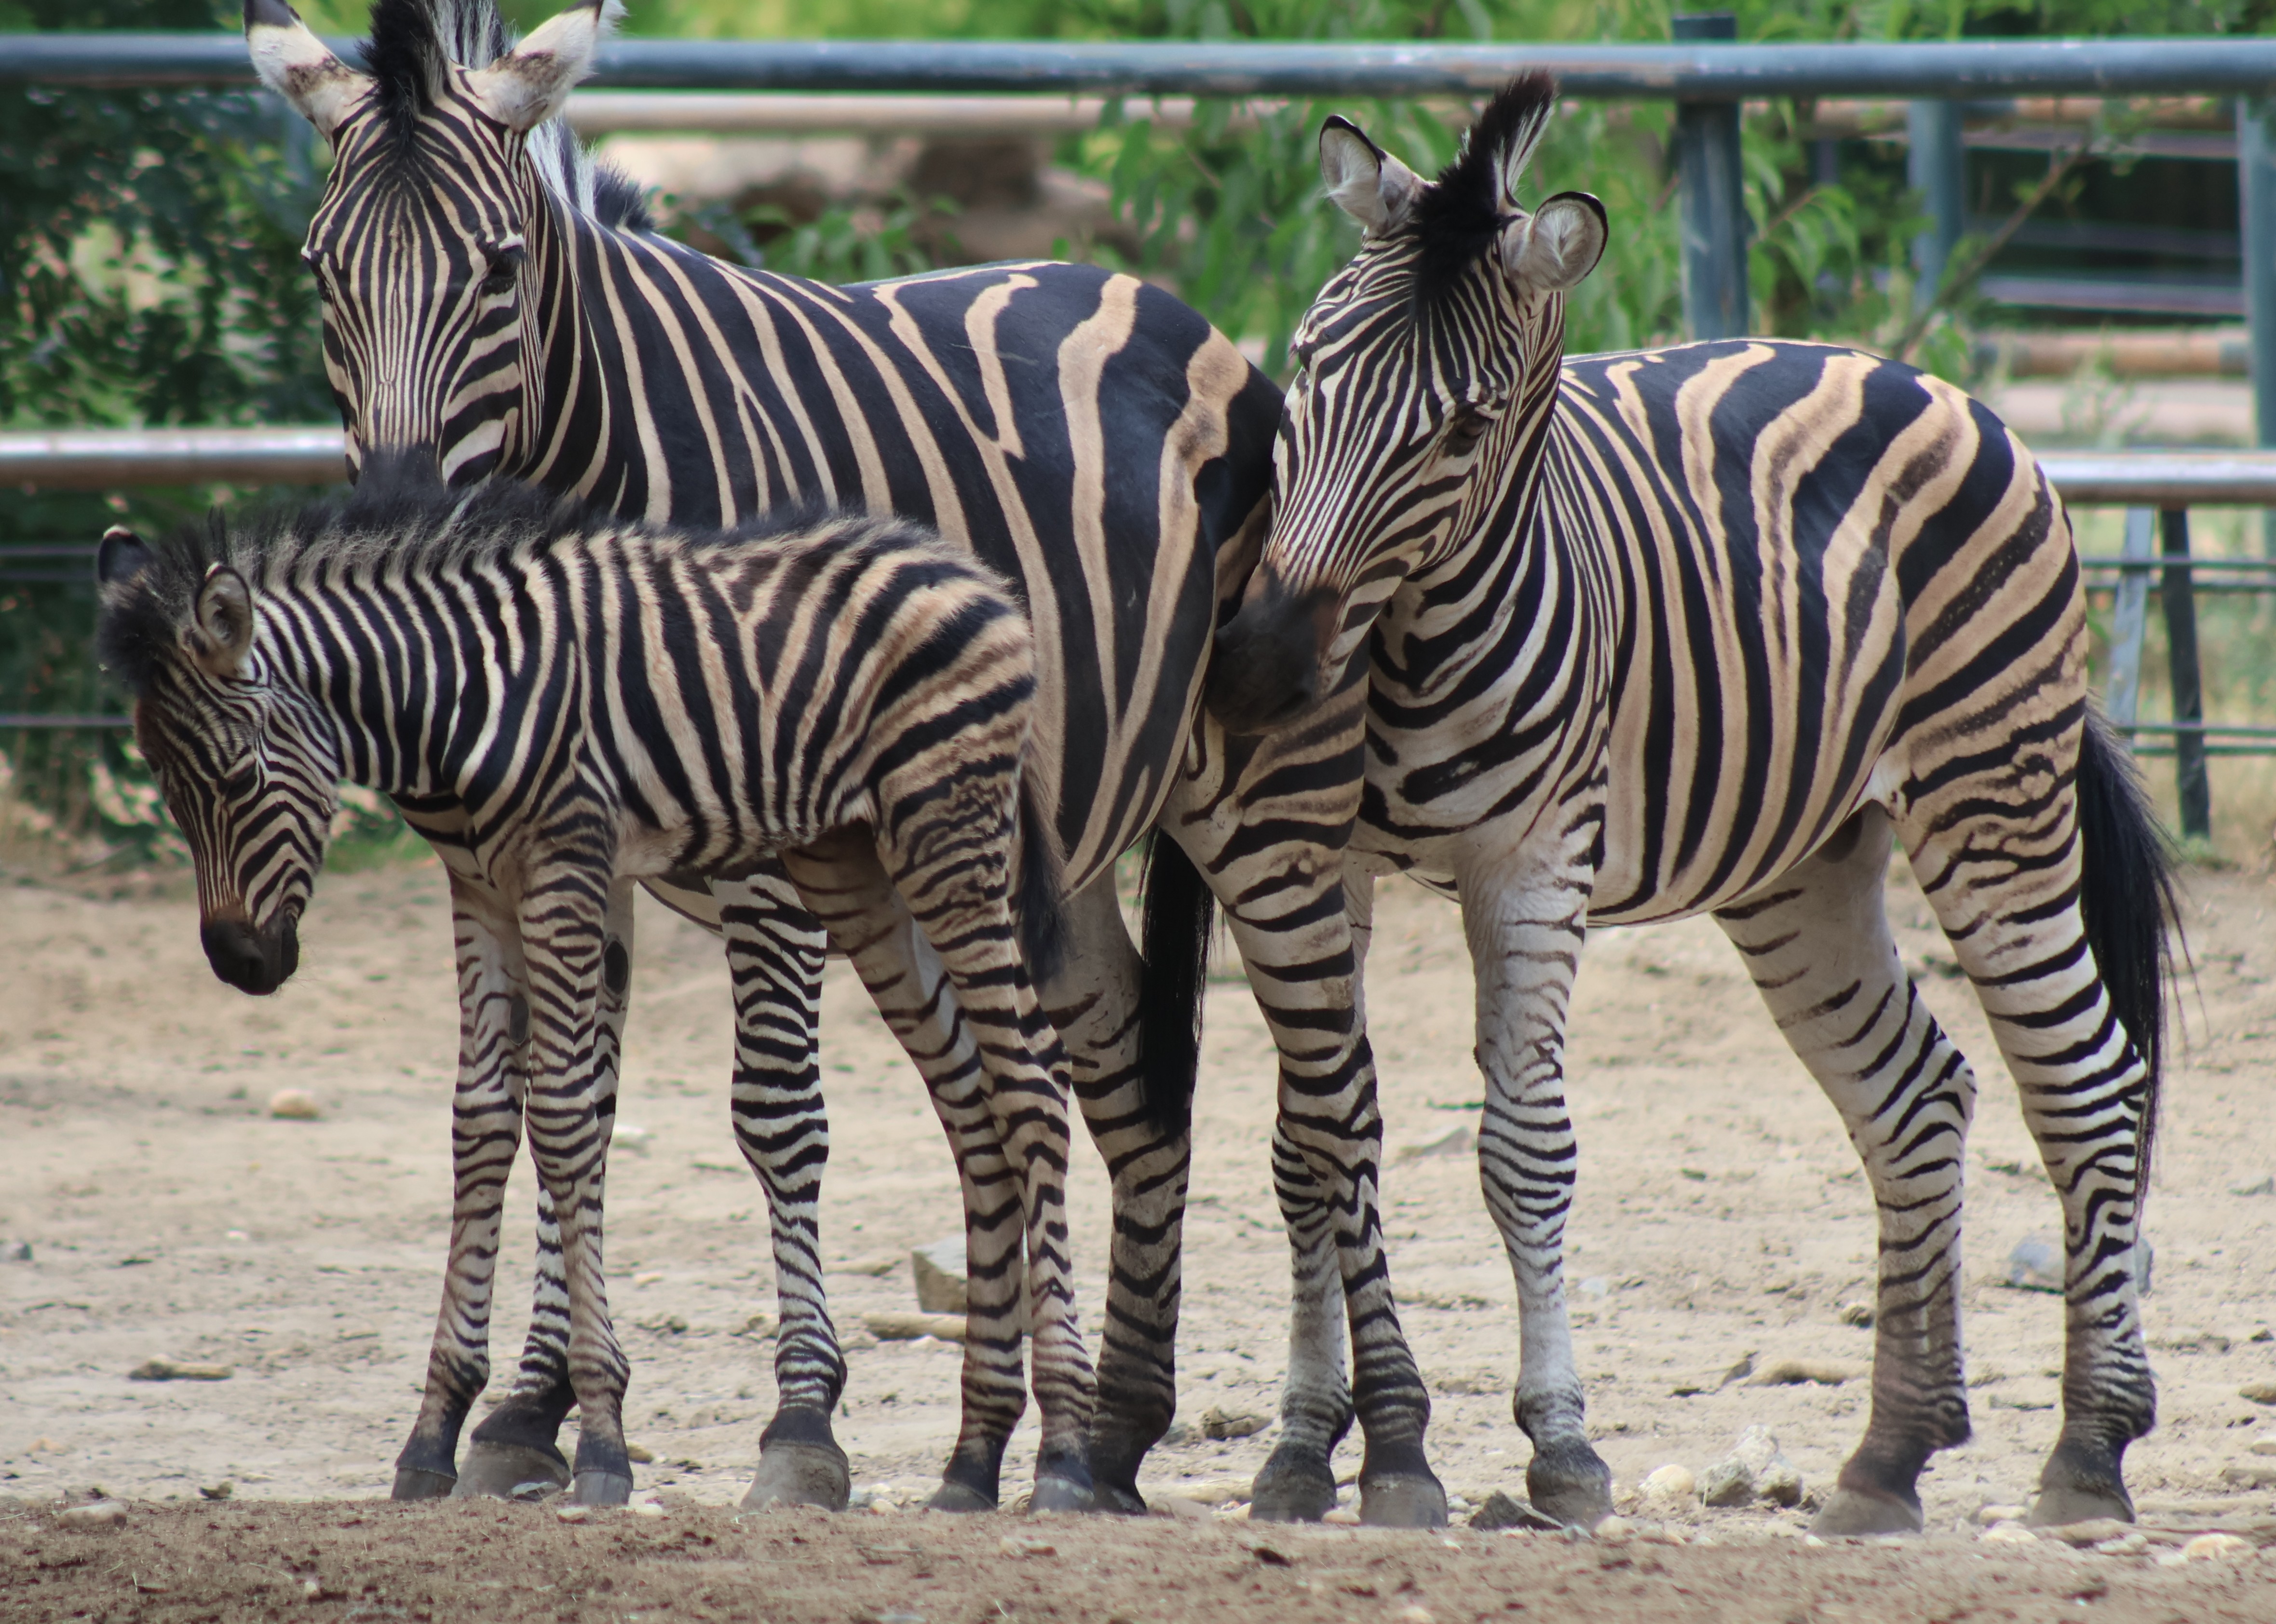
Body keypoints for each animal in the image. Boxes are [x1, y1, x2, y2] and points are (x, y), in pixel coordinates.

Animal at [94, 468, 1101, 1510]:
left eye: (238, 776)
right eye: (164, 785)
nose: (241, 962)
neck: (457, 694)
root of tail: (968, 569)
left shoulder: (565, 868)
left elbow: (568, 1117)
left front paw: (603, 1436)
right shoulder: (480, 890)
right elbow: (482, 1119)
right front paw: (434, 1432)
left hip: (948, 844)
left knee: (1031, 1082)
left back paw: (1066, 1452)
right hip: (852, 865)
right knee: (973, 1099)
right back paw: (973, 1459)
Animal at [240, 0, 1407, 1522]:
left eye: (497, 267)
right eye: (322, 271)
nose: (395, 518)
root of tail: (1169, 306)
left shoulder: (765, 854)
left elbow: (773, 1113)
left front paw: (801, 1424)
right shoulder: (554, 839)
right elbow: (562, 1100)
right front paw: (529, 1413)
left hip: (1263, 802)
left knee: (1331, 1099)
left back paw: (1363, 1448)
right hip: (1057, 844)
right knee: (1130, 1089)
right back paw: (1114, 1435)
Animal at [1197, 75, 2179, 1534]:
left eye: (1463, 429)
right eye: (1310, 367)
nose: (1259, 664)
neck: (1409, 644)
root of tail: (1924, 380)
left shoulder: (1534, 861)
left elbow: (1522, 1150)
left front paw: (1558, 1444)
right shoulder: (1314, 860)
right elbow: (1307, 1147)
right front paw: (1303, 1449)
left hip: (1989, 794)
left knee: (2088, 1082)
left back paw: (2089, 1450)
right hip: (1803, 864)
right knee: (1916, 1094)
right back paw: (1889, 1458)